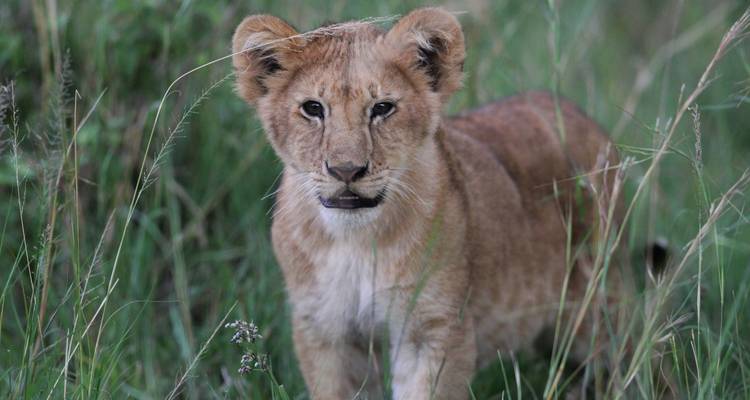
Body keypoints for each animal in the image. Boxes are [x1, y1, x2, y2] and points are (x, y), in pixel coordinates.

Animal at [231, 8, 628, 399]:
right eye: (313, 108)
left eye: (382, 108)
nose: (346, 170)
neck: (355, 241)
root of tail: (579, 114)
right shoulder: (325, 331)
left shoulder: (432, 328)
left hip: (597, 309)